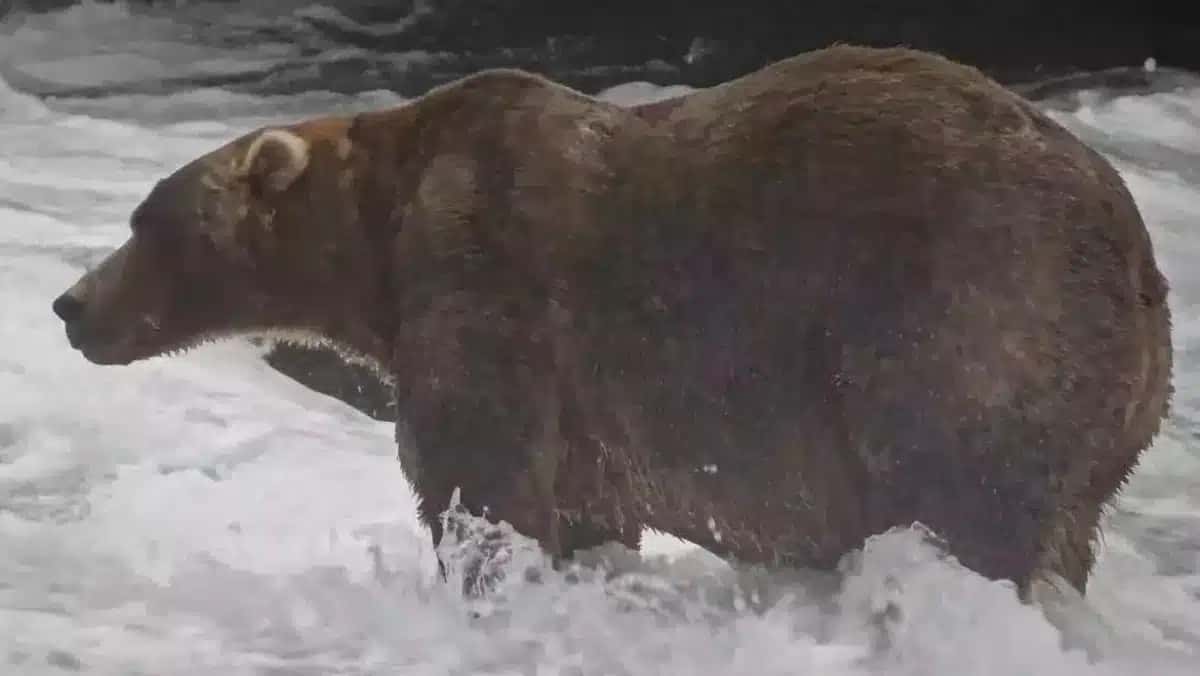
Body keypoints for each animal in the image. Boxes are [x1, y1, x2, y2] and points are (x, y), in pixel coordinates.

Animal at [51, 45, 1172, 597]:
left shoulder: (487, 285)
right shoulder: (585, 406)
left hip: (965, 319)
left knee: (964, 497)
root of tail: (1139, 254)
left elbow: (479, 481)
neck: (377, 239)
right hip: (1105, 414)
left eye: (146, 221)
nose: (70, 304)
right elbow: (583, 507)